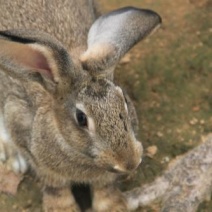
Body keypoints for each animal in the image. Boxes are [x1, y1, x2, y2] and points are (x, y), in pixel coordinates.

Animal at [0, 0, 161, 211]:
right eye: (81, 118)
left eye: (124, 101)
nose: (129, 163)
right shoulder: (31, 146)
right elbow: (55, 187)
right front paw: (61, 208)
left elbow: (104, 187)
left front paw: (114, 205)